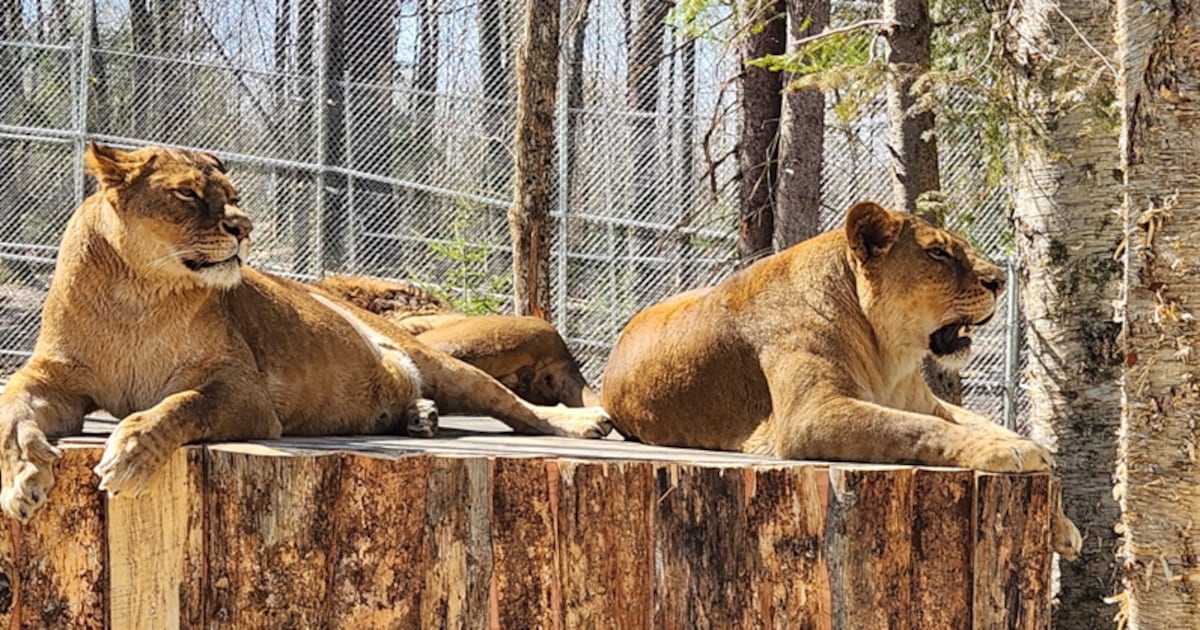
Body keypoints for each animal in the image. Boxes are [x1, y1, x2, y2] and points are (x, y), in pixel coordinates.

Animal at [600, 201, 1081, 559]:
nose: (998, 281)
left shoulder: (926, 401)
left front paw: (1059, 518)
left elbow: (989, 425)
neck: (888, 356)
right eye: (938, 254)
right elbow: (918, 429)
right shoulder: (811, 416)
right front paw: (1005, 452)